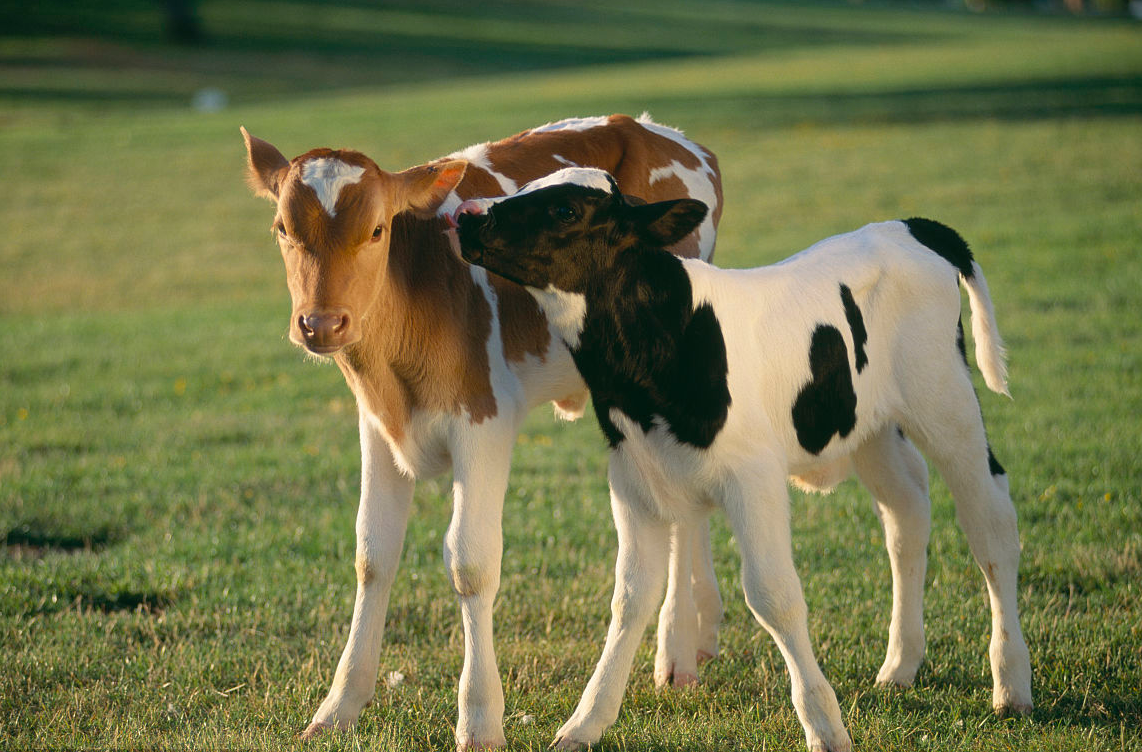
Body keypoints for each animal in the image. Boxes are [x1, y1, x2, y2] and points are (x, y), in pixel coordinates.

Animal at [454, 170, 1036, 749]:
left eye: (567, 211)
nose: (467, 214)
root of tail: (912, 226)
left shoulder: (753, 477)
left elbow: (773, 595)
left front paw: (824, 725)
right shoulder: (635, 480)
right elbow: (631, 599)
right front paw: (585, 722)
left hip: (945, 402)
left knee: (991, 524)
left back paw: (1011, 685)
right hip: (872, 428)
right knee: (906, 511)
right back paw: (900, 666)